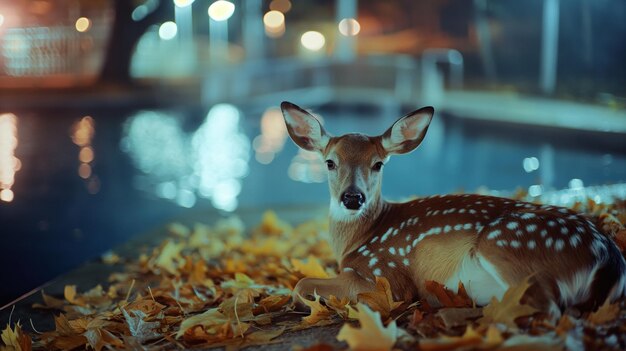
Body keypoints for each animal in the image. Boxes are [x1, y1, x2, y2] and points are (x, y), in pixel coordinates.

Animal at [282, 101, 624, 316]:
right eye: (330, 162)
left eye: (377, 164)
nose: (353, 198)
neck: (358, 239)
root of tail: (609, 256)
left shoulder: (384, 275)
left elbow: (300, 283)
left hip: (505, 243)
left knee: (550, 309)